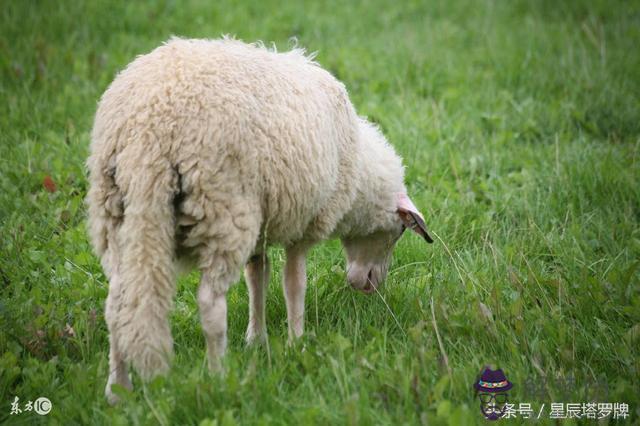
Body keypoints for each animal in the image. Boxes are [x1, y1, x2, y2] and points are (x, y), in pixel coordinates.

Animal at [86, 36, 436, 402]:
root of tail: (147, 129)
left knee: (116, 305)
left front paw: (257, 339)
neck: (358, 180)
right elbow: (294, 283)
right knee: (210, 304)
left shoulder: (261, 227)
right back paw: (218, 377)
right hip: (223, 211)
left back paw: (117, 390)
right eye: (399, 232)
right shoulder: (303, 224)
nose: (370, 286)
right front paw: (298, 342)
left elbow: (258, 277)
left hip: (115, 216)